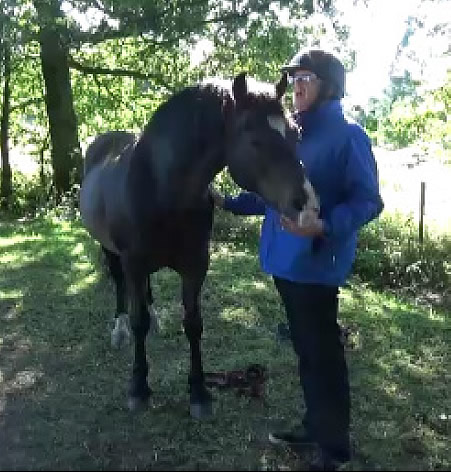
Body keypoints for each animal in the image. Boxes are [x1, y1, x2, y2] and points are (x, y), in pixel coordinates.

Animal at [79, 72, 320, 418]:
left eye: (295, 134)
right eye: (255, 140)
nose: (308, 207)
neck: (161, 188)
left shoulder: (196, 265)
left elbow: (193, 325)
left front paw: (199, 392)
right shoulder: (133, 263)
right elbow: (139, 321)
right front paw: (139, 387)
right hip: (112, 252)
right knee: (121, 287)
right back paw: (119, 329)